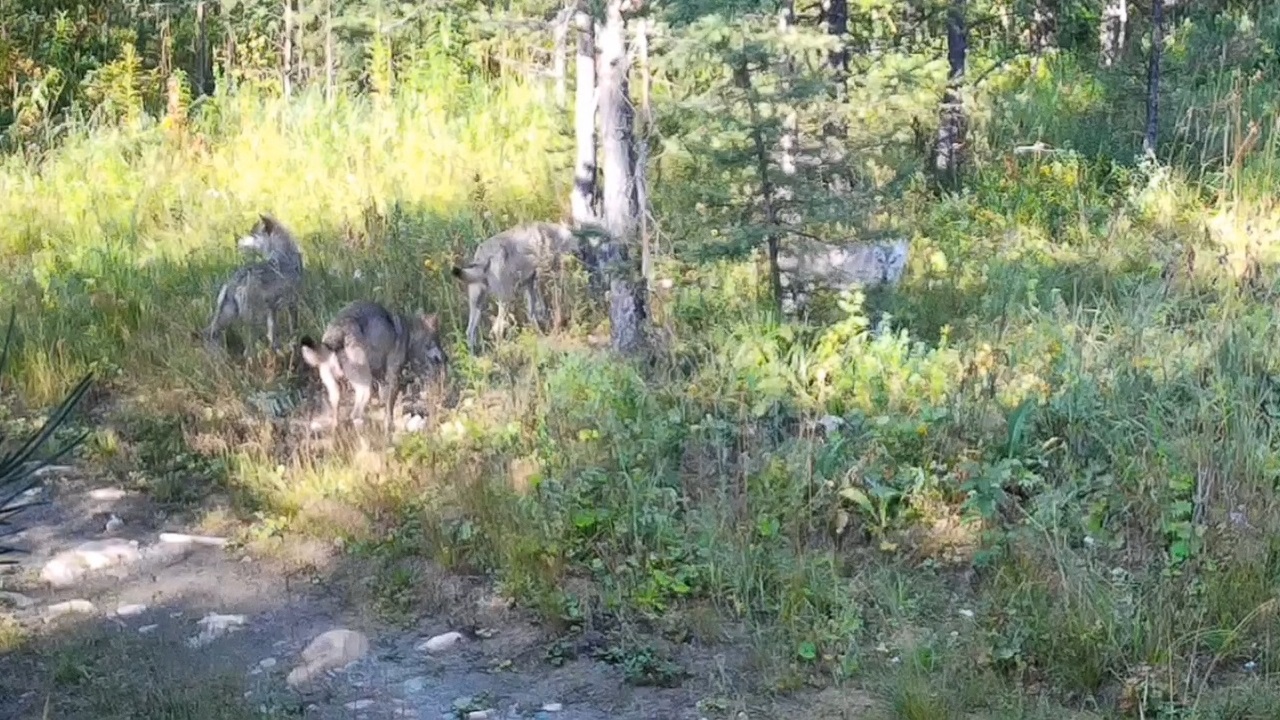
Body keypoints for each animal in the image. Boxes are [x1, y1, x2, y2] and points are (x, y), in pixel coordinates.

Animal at [203, 212, 305, 353]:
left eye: (253, 235)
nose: (238, 242)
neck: (283, 254)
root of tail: (234, 282)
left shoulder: (272, 310)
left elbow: (271, 335)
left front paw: (276, 349)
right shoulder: (292, 303)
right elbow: (293, 328)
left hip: (227, 317)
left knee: (210, 334)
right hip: (252, 320)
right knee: (247, 350)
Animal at [296, 298, 448, 430]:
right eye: (437, 341)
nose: (446, 358)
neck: (408, 332)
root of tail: (337, 333)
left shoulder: (380, 377)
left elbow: (383, 399)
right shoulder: (393, 377)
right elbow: (389, 408)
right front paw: (389, 426)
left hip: (335, 392)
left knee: (337, 418)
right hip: (364, 388)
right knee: (355, 415)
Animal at [450, 219, 609, 353]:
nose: (586, 254)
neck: (555, 236)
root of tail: (483, 254)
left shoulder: (529, 284)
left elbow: (532, 313)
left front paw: (539, 335)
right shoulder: (541, 278)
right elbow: (544, 308)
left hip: (478, 305)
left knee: (470, 332)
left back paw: (476, 358)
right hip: (506, 299)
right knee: (497, 329)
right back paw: (503, 352)